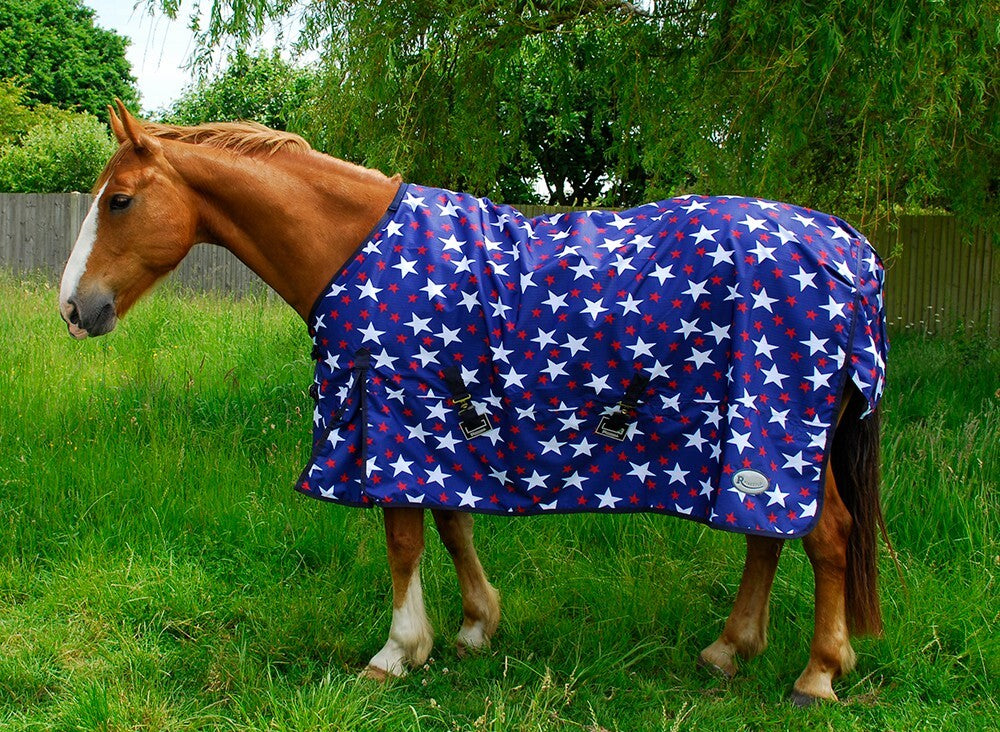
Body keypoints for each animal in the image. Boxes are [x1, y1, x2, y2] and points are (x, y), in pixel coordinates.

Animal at [58, 101, 887, 705]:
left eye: (121, 201)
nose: (73, 307)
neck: (352, 247)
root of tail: (846, 248)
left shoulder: (388, 418)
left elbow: (405, 541)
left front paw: (397, 651)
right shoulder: (443, 428)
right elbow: (452, 525)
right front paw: (475, 627)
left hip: (775, 429)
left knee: (826, 537)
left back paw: (818, 673)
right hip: (745, 435)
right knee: (767, 537)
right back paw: (729, 649)